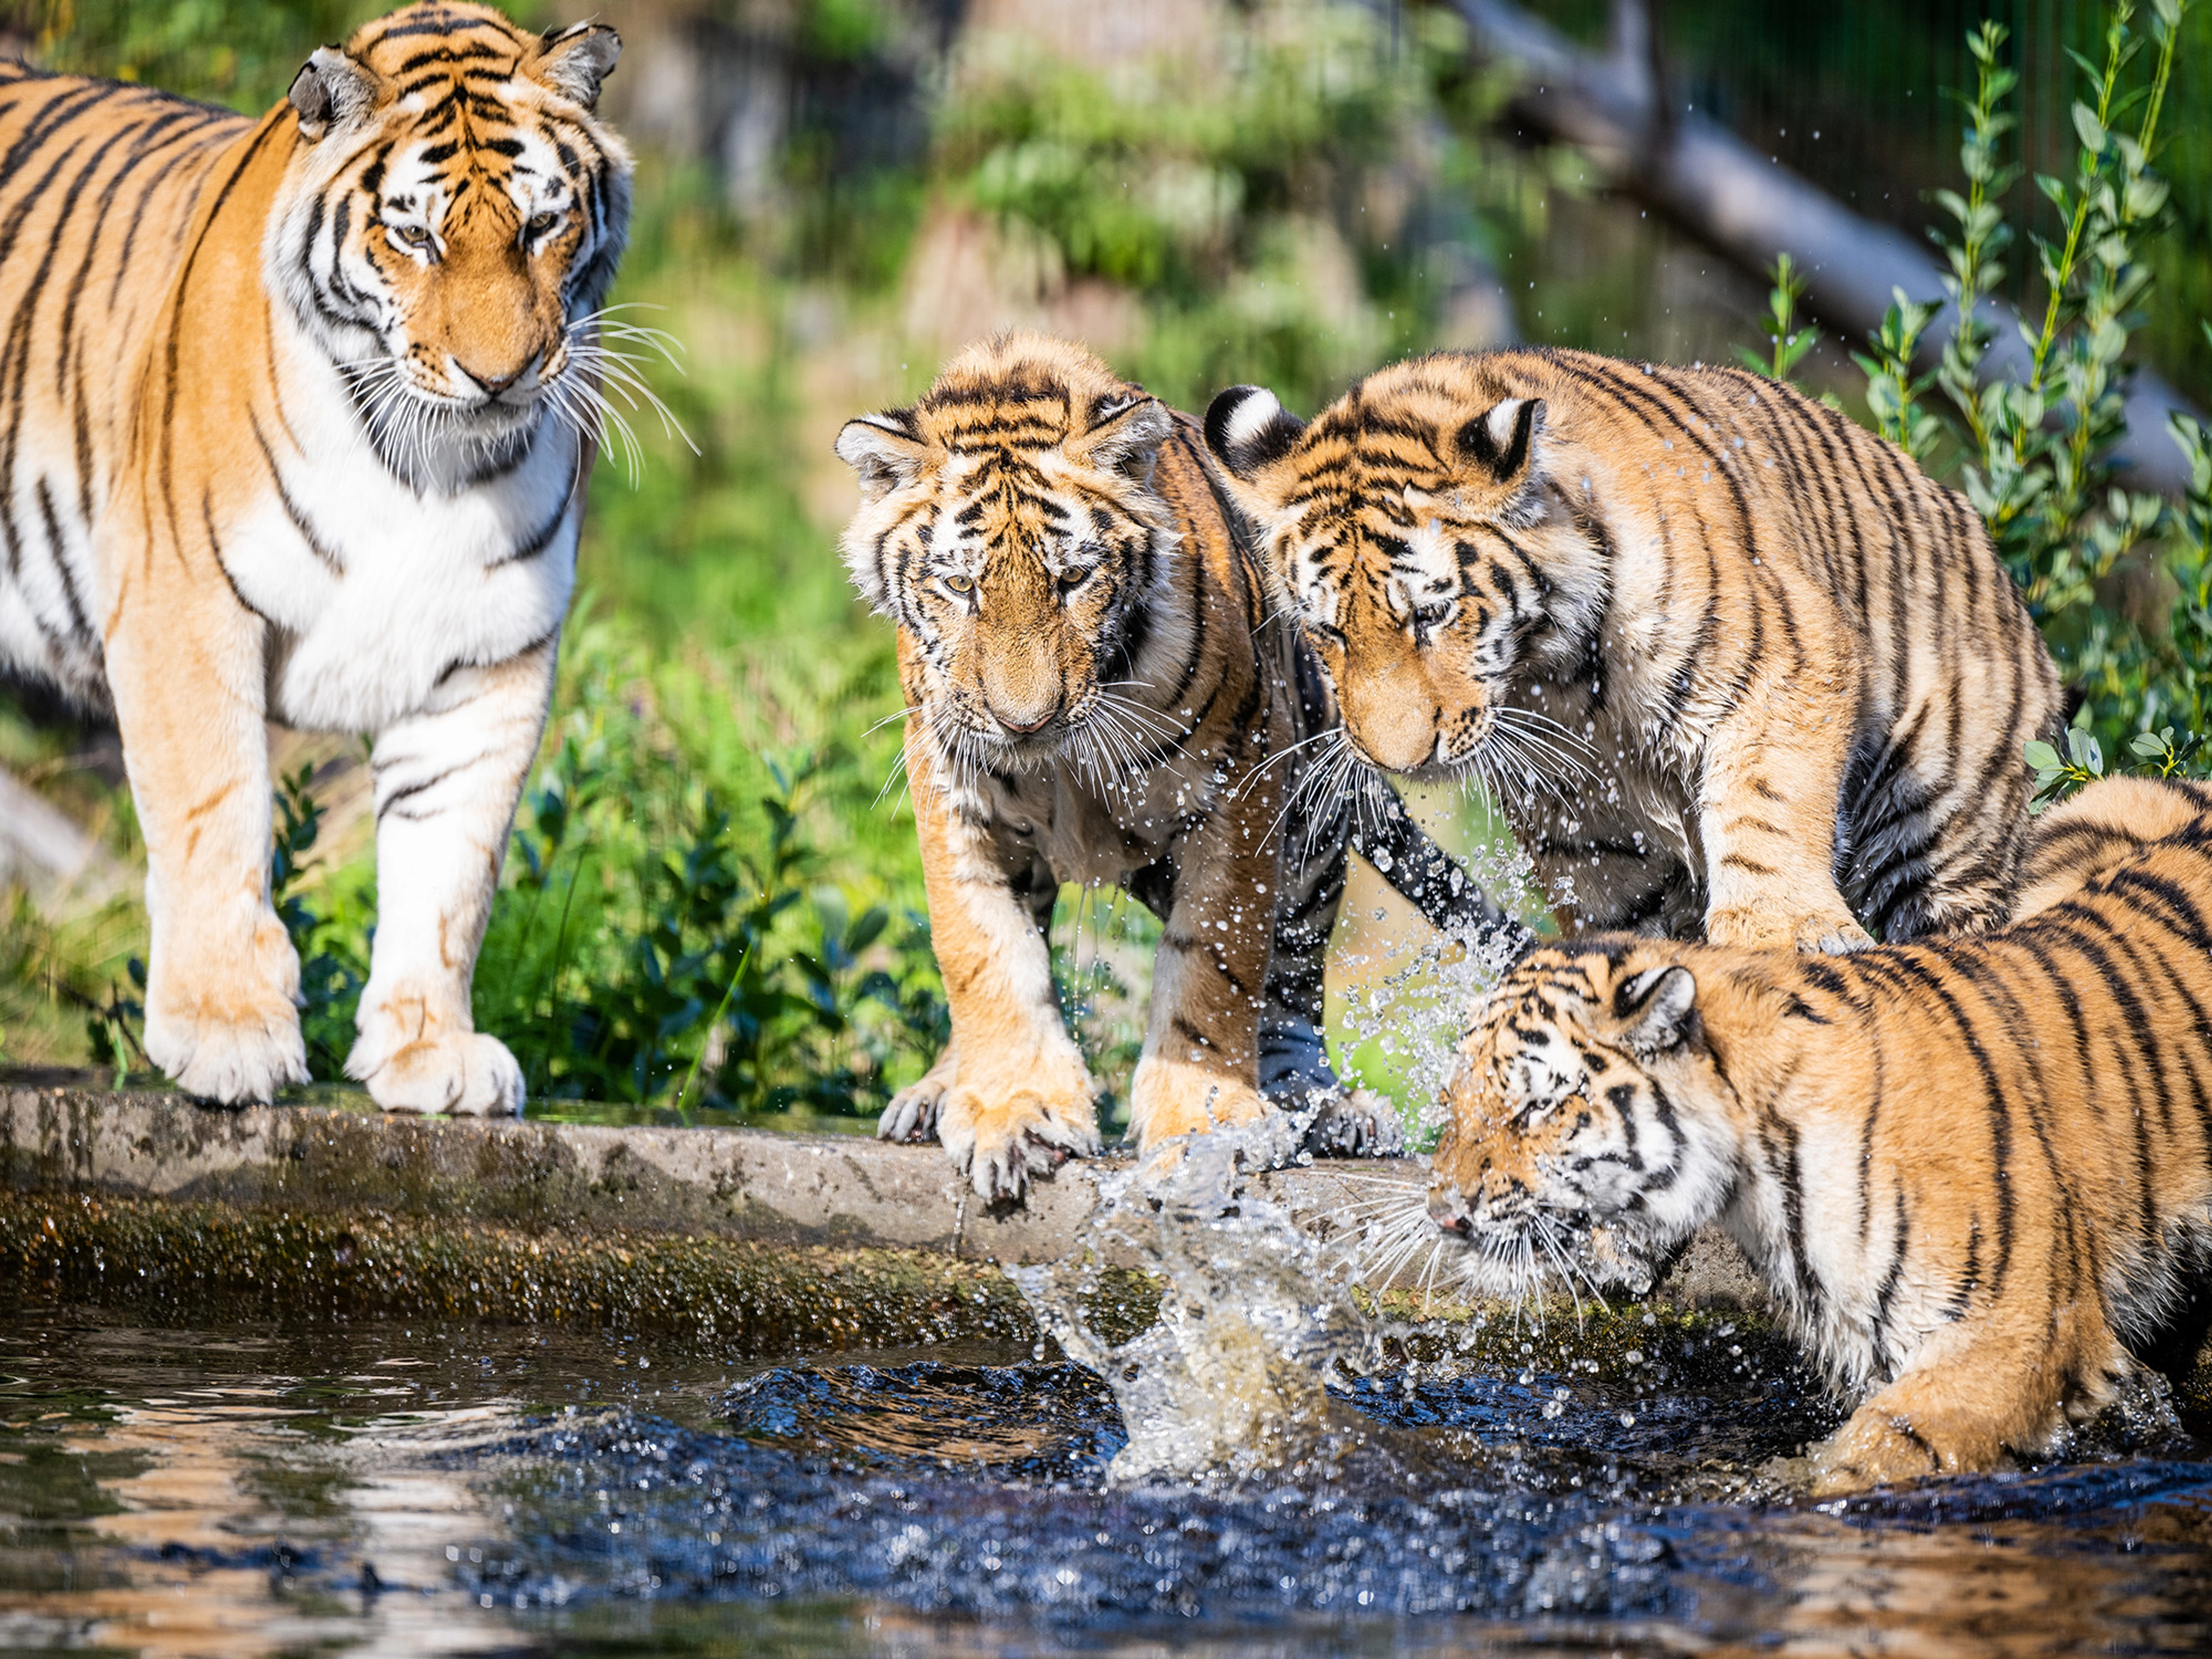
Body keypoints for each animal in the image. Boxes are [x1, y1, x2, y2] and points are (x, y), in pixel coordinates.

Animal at [0, 3, 630, 1111]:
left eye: (541, 226)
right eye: (416, 235)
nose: (501, 376)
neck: (429, 468)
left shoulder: (491, 652)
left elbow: (450, 862)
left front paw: (430, 1050)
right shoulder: (182, 597)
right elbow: (216, 813)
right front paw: (225, 1032)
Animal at [836, 333, 1509, 1201]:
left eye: (1073, 579)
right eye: (960, 586)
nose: (1025, 721)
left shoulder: (1238, 792)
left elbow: (1213, 969)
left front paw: (1204, 1127)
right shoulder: (957, 796)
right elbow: (983, 955)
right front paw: (1012, 1111)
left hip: (1310, 841)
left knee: (1292, 992)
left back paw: (1327, 1110)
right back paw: (935, 1093)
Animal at [1201, 348, 2064, 955]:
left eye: (1433, 615)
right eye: (1329, 633)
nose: (1398, 760)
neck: (1558, 678)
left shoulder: (1788, 662)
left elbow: (1767, 804)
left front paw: (1781, 932)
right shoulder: (1587, 819)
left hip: (1943, 828)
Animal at [1423, 773, 2212, 1494]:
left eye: (1534, 1110)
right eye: (1453, 1102)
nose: (1442, 1213)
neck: (1757, 1182)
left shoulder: (2017, 1336)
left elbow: (1874, 1454)